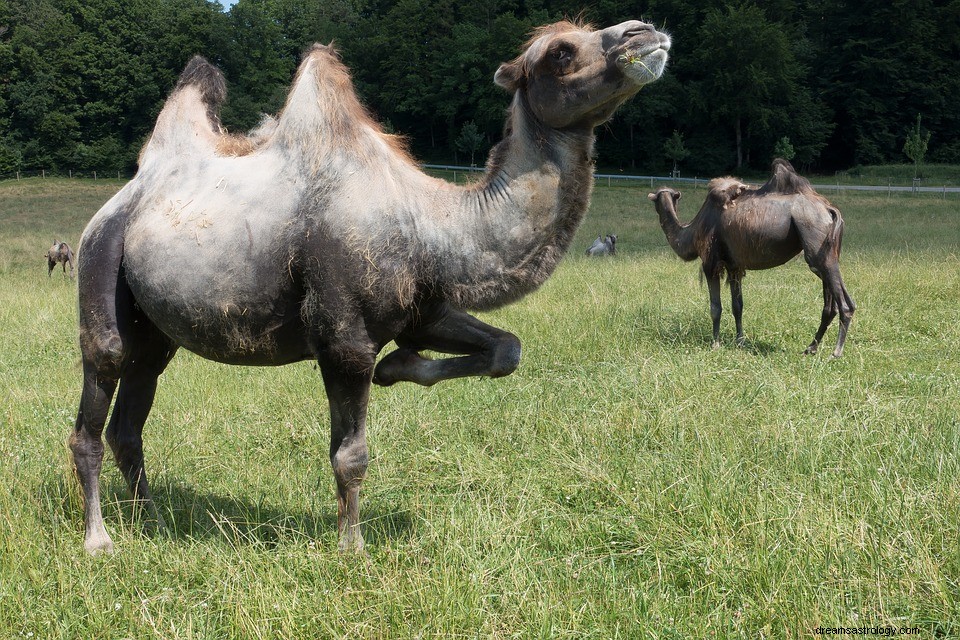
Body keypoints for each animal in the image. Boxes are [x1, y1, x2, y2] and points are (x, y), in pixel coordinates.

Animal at [71, 21, 672, 556]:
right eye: (561, 52)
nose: (646, 33)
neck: (428, 225)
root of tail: (126, 195)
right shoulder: (345, 339)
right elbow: (351, 453)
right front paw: (352, 547)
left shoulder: (422, 313)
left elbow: (506, 349)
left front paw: (400, 367)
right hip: (100, 261)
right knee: (96, 399)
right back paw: (100, 539)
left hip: (157, 331)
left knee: (131, 419)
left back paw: (152, 519)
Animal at [648, 156, 852, 356]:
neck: (693, 231)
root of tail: (830, 210)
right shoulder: (734, 266)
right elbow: (737, 305)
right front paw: (740, 341)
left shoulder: (711, 262)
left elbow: (715, 307)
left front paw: (715, 343)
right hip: (828, 252)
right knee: (830, 306)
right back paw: (811, 348)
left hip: (815, 246)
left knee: (844, 303)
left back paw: (836, 351)